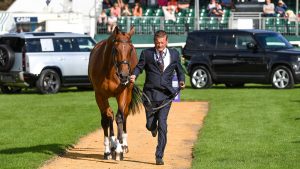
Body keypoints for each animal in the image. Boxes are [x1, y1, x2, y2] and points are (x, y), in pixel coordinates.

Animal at [88, 26, 142, 160]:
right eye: (116, 49)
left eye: (130, 49)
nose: (124, 75)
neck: (109, 71)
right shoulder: (99, 95)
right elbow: (106, 118)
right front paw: (108, 150)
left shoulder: (122, 92)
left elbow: (119, 117)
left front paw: (119, 150)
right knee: (110, 115)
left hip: (128, 92)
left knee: (125, 114)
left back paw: (123, 144)